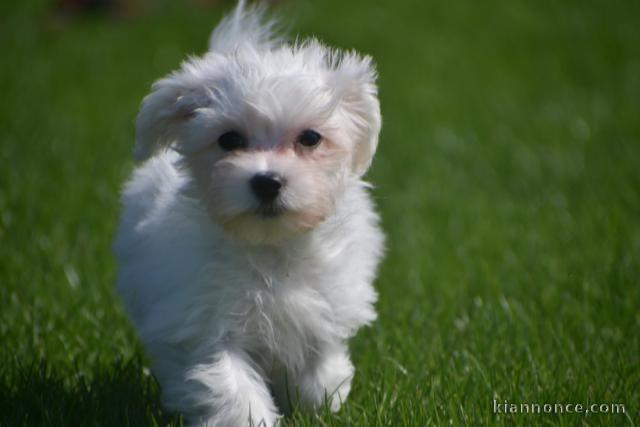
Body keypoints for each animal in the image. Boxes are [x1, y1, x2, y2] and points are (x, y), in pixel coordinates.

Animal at [114, 1, 384, 426]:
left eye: (311, 138)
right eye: (229, 140)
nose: (267, 181)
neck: (270, 249)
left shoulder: (324, 308)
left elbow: (321, 371)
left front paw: (319, 403)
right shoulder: (204, 322)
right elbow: (231, 386)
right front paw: (253, 415)